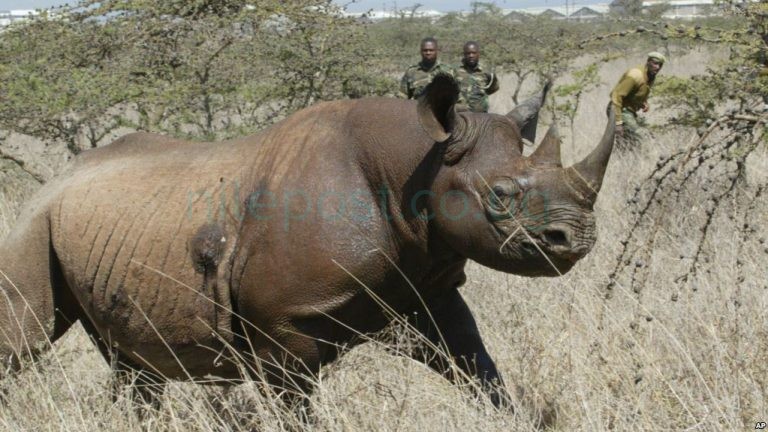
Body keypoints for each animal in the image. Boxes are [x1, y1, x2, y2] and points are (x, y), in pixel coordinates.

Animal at [0, 75, 614, 412]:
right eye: (501, 196)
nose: (578, 237)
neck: (416, 160)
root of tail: (59, 175)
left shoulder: (425, 289)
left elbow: (478, 369)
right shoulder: (281, 326)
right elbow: (295, 408)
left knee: (132, 369)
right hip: (34, 221)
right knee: (26, 338)